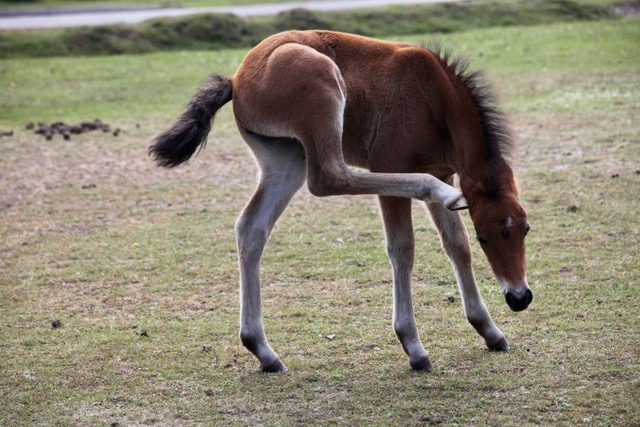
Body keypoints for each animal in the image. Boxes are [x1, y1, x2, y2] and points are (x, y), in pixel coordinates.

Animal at [149, 30, 532, 373]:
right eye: (486, 236)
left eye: (526, 229)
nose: (519, 297)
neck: (434, 95)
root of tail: (237, 78)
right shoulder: (392, 166)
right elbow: (403, 249)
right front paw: (413, 346)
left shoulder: (446, 171)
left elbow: (456, 245)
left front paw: (489, 331)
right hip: (322, 88)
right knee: (329, 178)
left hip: (286, 158)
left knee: (252, 227)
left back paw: (263, 351)